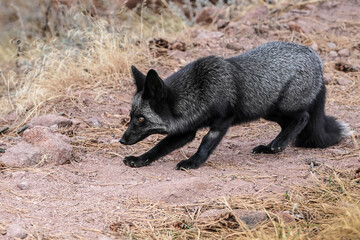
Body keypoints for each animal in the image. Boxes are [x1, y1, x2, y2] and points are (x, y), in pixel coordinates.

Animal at [120, 40, 348, 170]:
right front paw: (139, 159)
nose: (122, 140)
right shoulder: (185, 130)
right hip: (266, 109)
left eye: (141, 119)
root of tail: (316, 58)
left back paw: (278, 145)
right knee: (290, 123)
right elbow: (159, 148)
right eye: (131, 117)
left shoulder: (223, 119)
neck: (201, 89)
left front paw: (194, 162)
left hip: (281, 106)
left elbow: (206, 143)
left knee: (304, 117)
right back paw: (270, 147)